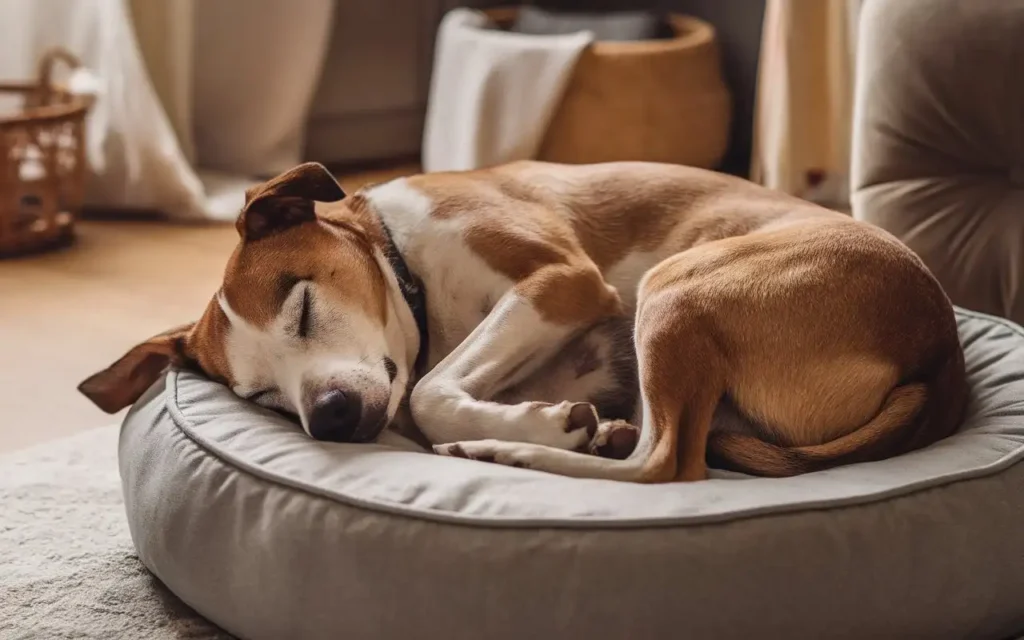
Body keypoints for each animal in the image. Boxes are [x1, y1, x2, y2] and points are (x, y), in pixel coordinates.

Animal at [77, 158, 966, 479]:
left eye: (299, 304)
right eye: (260, 397)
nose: (326, 417)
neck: (409, 263)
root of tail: (940, 348)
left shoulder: (560, 283)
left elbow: (428, 391)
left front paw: (536, 425)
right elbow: (432, 392)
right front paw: (548, 419)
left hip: (674, 288)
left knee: (667, 468)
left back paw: (515, 450)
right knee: (656, 448)